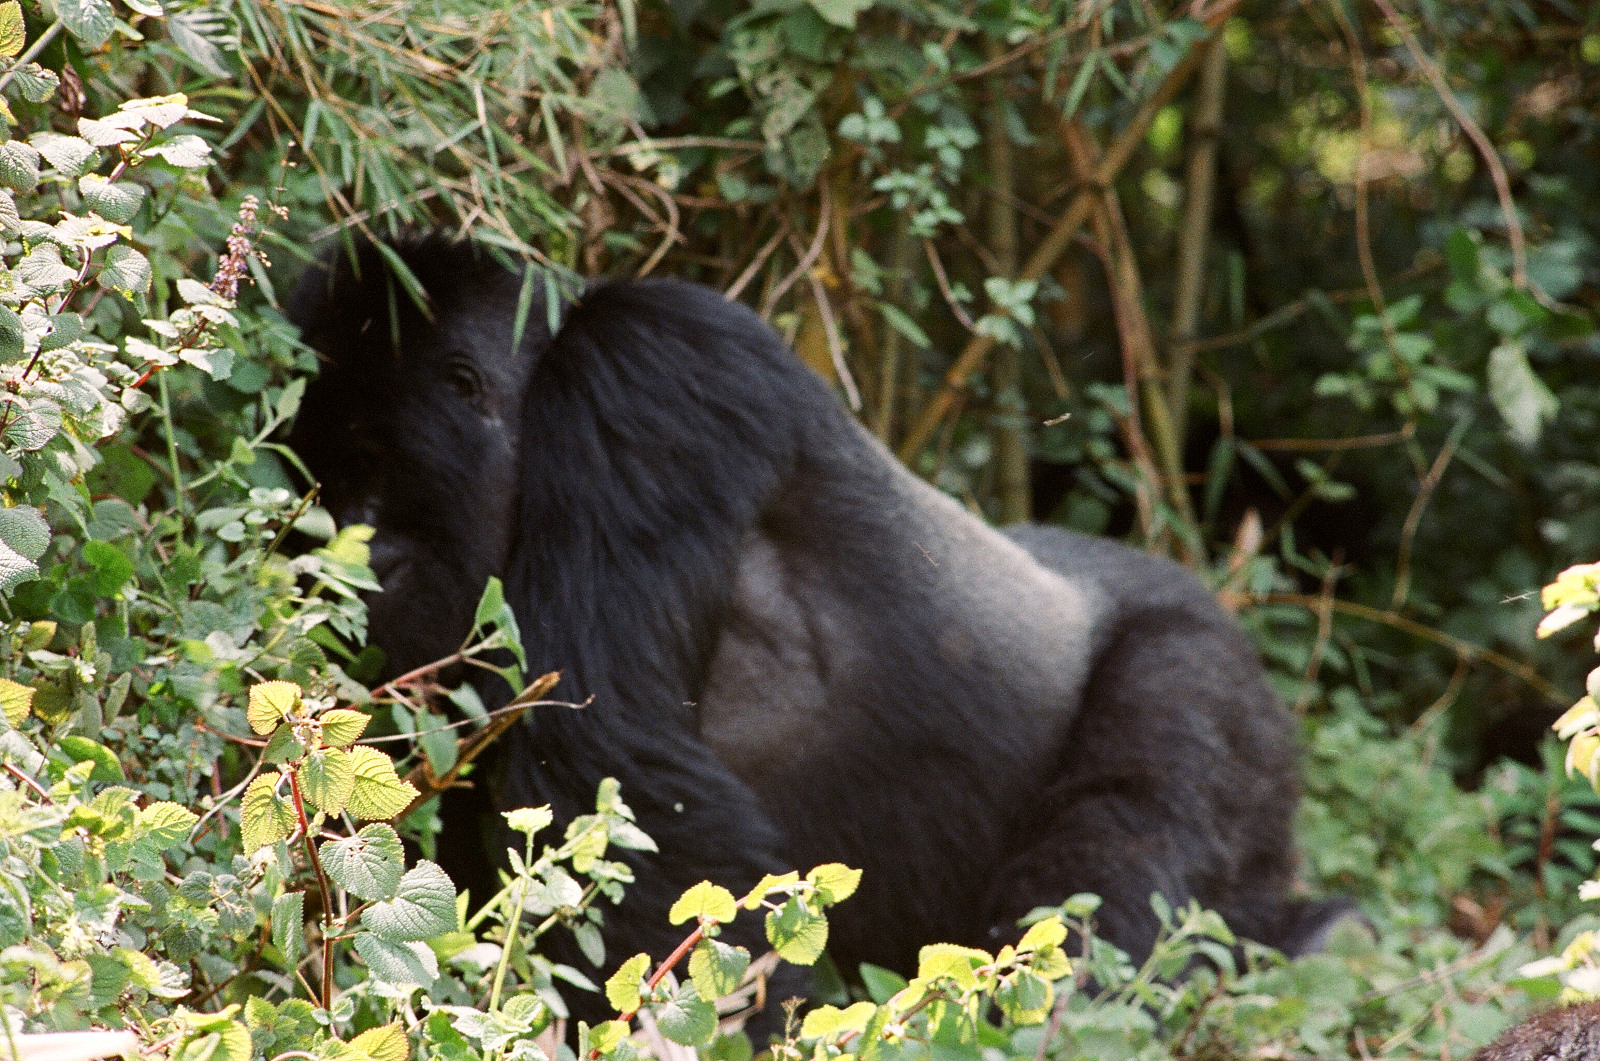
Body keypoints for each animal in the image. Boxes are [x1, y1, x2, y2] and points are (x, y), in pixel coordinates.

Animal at [284, 235, 1337, 1030]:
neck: (546, 368)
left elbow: (609, 764)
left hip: (1210, 667)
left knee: (1118, 859)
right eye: (321, 485)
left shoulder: (647, 378)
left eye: (374, 479)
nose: (344, 566)